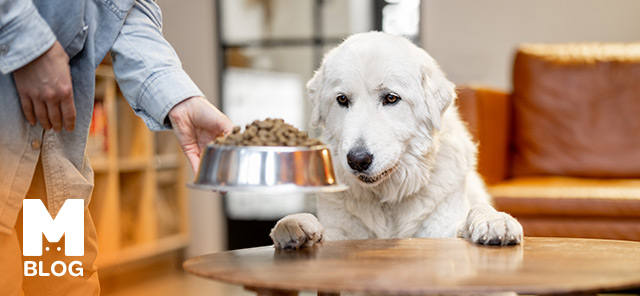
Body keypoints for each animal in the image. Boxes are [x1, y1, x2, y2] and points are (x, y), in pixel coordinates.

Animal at [268, 31, 524, 250]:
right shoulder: (340, 233)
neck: (389, 200)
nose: (358, 160)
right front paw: (293, 225)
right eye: (342, 99)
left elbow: (476, 212)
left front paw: (495, 220)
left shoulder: (442, 229)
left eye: (391, 98)